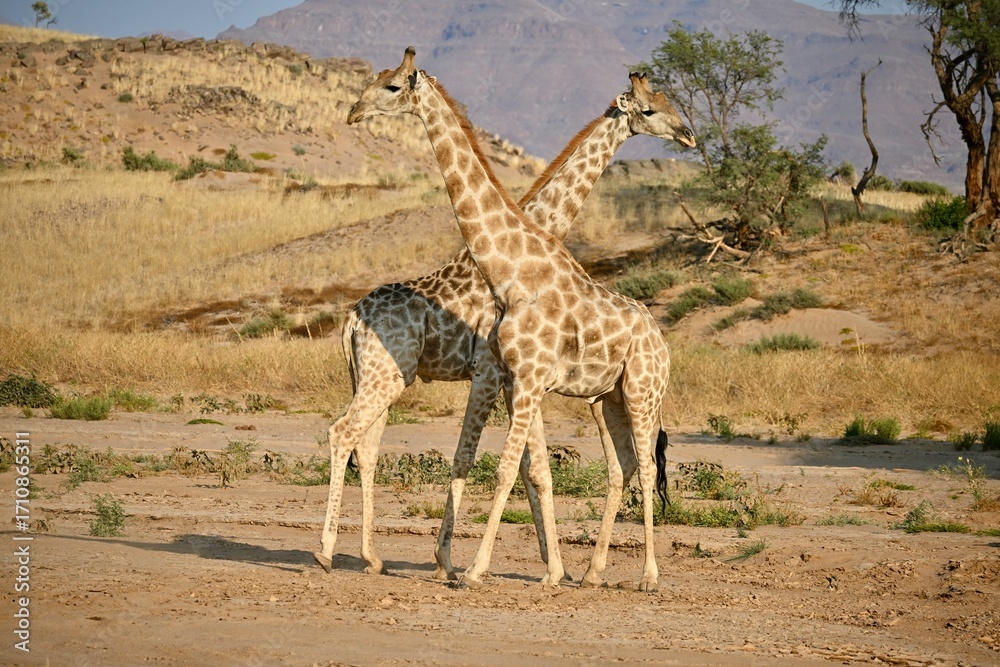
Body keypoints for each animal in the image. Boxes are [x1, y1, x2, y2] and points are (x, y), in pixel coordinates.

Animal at [316, 60, 694, 579]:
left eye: (390, 85)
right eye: (652, 109)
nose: (688, 135)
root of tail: (352, 316)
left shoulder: (511, 380)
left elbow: (522, 468)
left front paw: (539, 566)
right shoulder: (497, 375)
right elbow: (498, 464)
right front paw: (471, 564)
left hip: (385, 376)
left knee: (365, 445)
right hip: (387, 376)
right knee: (350, 437)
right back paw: (338, 552)